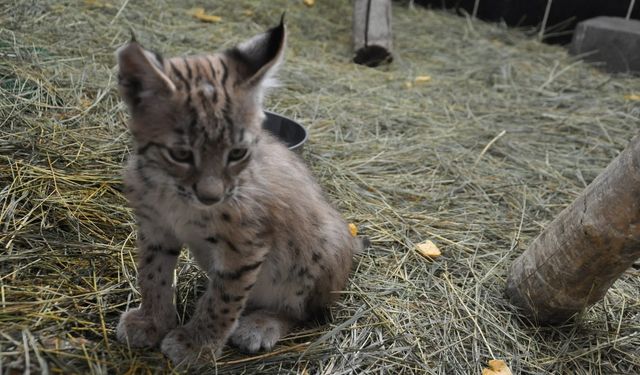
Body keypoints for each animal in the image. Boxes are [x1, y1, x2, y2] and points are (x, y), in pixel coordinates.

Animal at [115, 19, 364, 366]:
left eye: (237, 153)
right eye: (180, 154)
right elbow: (153, 276)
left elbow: (223, 300)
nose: (211, 197)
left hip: (320, 247)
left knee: (305, 312)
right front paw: (152, 322)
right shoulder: (155, 229)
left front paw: (196, 345)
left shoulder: (244, 248)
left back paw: (261, 324)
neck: (173, 194)